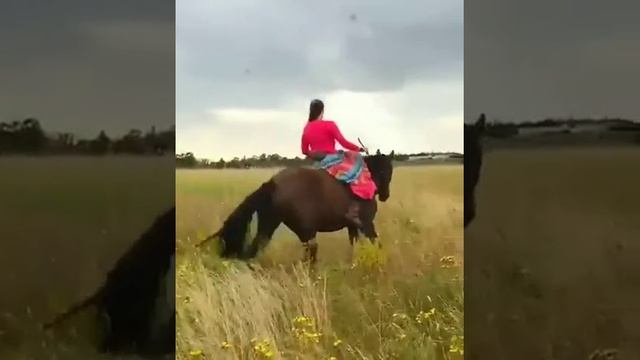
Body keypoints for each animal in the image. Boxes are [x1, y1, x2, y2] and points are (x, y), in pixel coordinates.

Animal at [198, 151, 392, 264]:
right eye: (384, 171)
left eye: (390, 171)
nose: (384, 195)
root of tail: (272, 183)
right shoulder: (366, 224)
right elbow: (377, 243)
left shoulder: (352, 226)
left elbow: (354, 245)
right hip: (303, 230)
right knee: (310, 253)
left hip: (271, 222)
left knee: (257, 246)